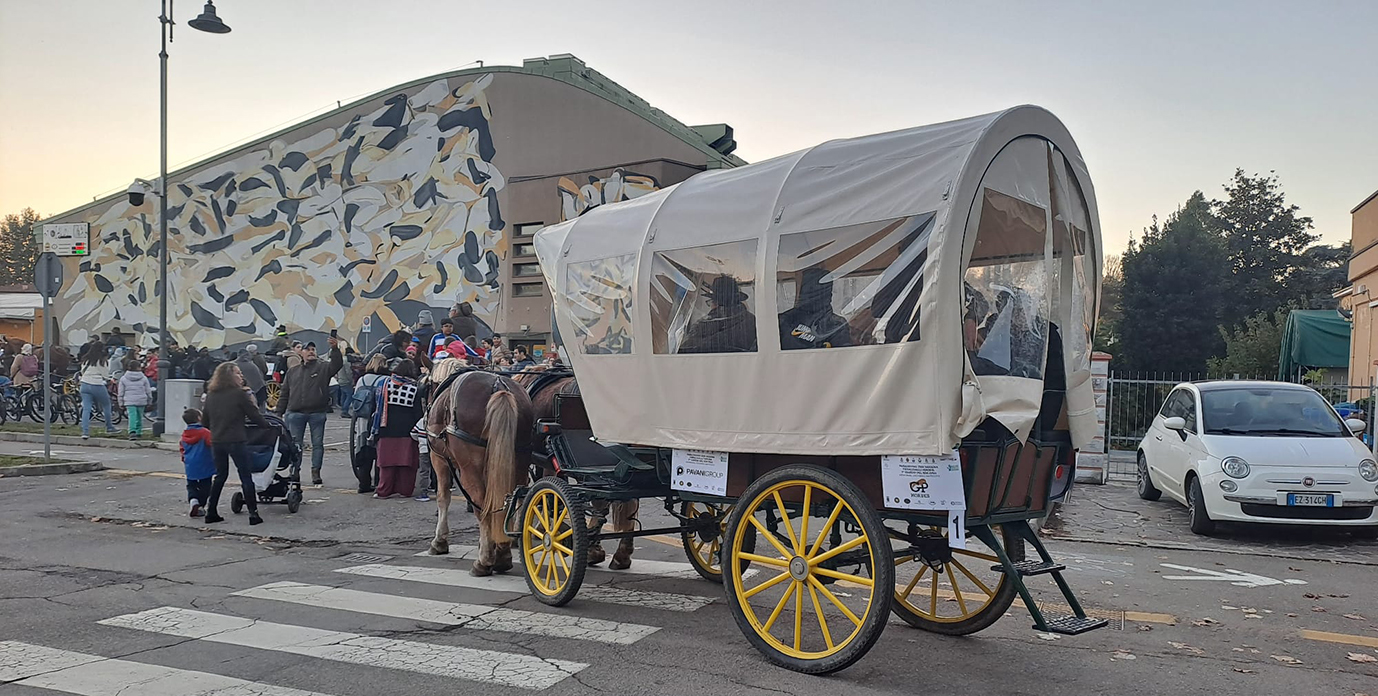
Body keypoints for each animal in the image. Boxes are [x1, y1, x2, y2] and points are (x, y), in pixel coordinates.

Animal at [424, 359, 535, 576]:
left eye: (429, 385)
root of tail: (499, 386)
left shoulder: (439, 459)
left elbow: (443, 497)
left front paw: (439, 541)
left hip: (470, 467)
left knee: (482, 504)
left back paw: (484, 560)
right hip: (518, 461)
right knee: (511, 499)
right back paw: (503, 554)